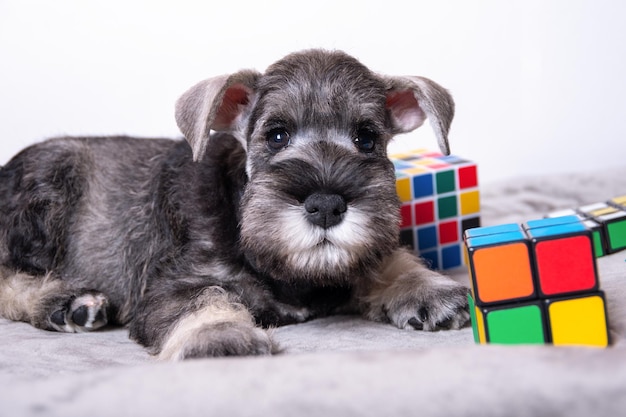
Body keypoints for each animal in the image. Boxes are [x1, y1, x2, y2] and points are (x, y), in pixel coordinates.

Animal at [0, 50, 468, 360]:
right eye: (276, 135)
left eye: (366, 138)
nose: (326, 205)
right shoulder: (174, 284)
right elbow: (203, 298)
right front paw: (220, 335)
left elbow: (384, 261)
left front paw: (429, 288)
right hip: (46, 184)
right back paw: (66, 302)